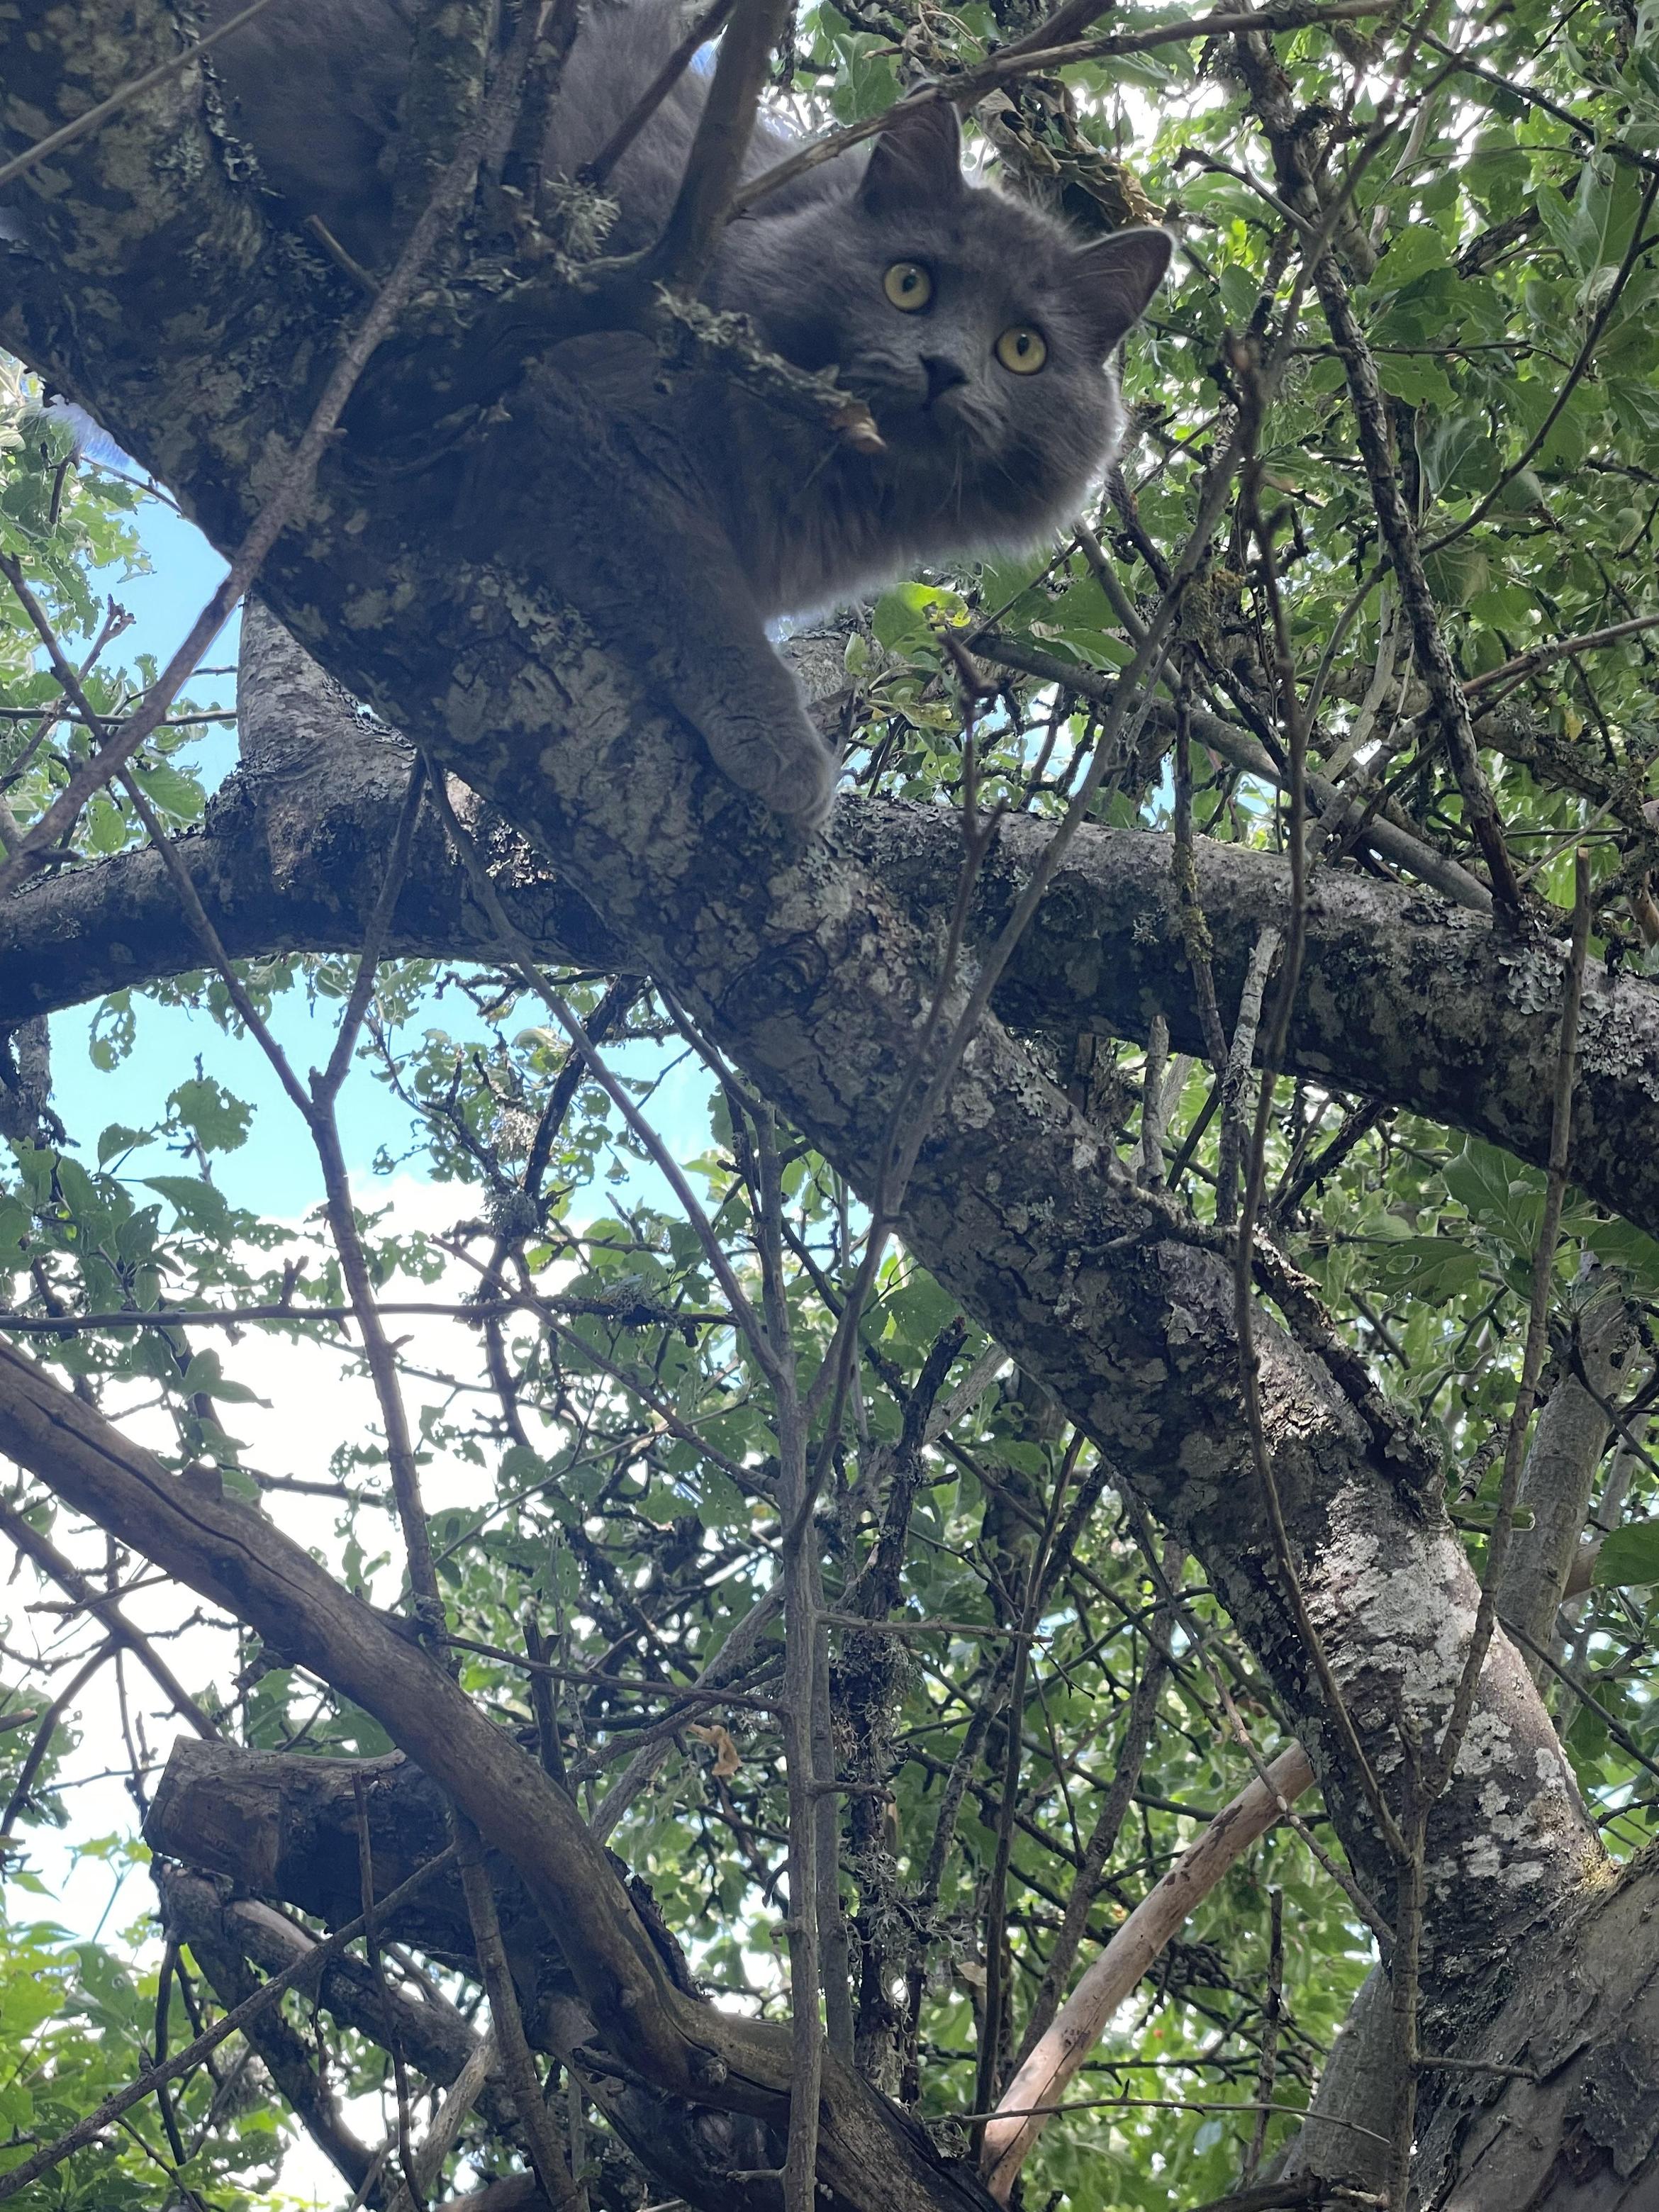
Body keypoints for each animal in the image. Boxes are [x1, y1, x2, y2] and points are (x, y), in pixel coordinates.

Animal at [205, 3, 1174, 822]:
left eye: (1023, 349)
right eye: (909, 283)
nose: (944, 370)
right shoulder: (565, 408)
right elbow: (690, 576)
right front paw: (781, 746)